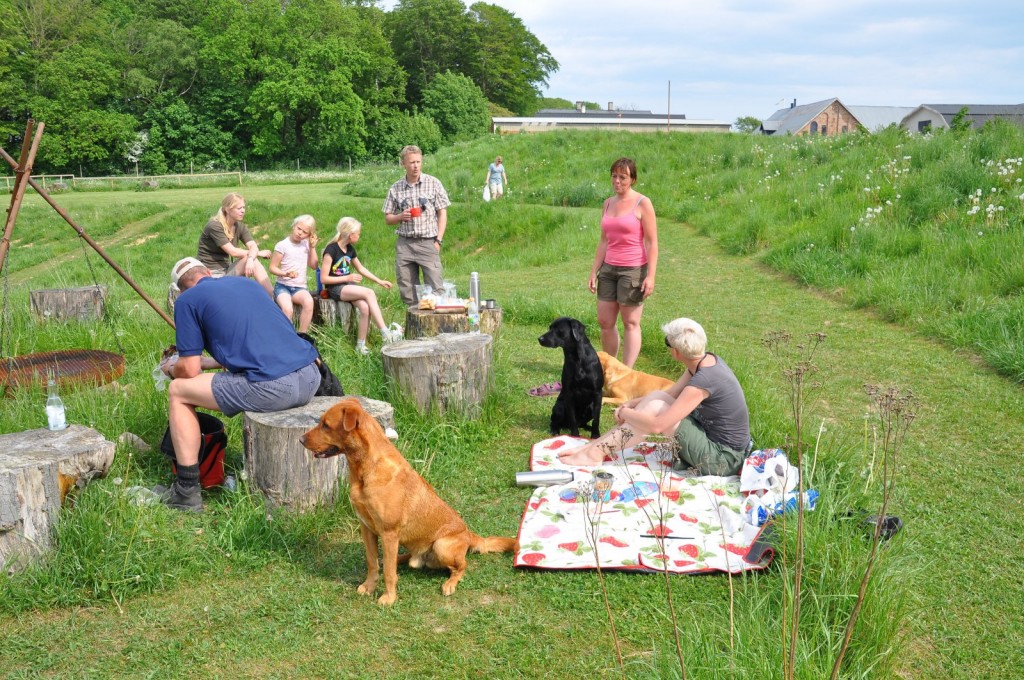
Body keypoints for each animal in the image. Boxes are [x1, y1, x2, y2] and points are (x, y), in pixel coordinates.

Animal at [299, 399, 516, 606]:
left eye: (326, 425)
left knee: (461, 565)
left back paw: (449, 584)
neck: (366, 469)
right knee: (395, 559)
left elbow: (388, 573)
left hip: (441, 545)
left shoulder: (388, 532)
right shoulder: (366, 528)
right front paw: (369, 587)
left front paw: (388, 598)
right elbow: (372, 562)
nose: (300, 439)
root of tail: (470, 534)